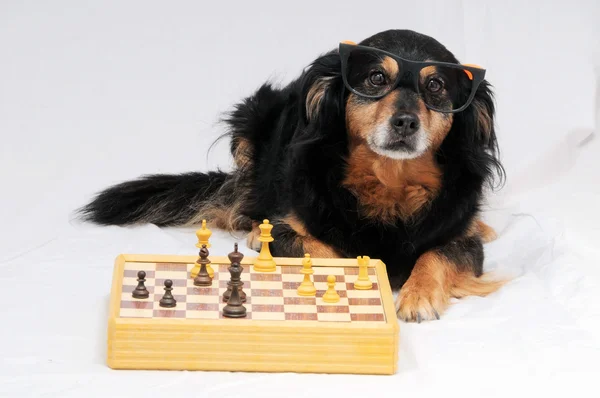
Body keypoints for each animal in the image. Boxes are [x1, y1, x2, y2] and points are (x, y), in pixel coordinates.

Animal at [77, 30, 504, 324]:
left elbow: (437, 254)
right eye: (376, 78)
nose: (406, 122)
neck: (388, 183)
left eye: (436, 86)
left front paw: (418, 295)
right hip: (249, 123)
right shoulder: (289, 228)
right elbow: (319, 251)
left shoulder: (461, 241)